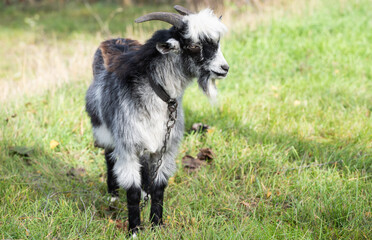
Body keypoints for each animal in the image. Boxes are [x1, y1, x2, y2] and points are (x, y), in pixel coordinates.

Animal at [85, 5, 228, 234]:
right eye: (194, 46)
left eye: (217, 42)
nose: (224, 68)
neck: (157, 94)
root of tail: (114, 40)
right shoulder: (128, 147)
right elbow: (132, 191)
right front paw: (134, 229)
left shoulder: (164, 148)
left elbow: (159, 188)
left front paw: (157, 224)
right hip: (104, 130)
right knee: (108, 156)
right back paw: (113, 196)